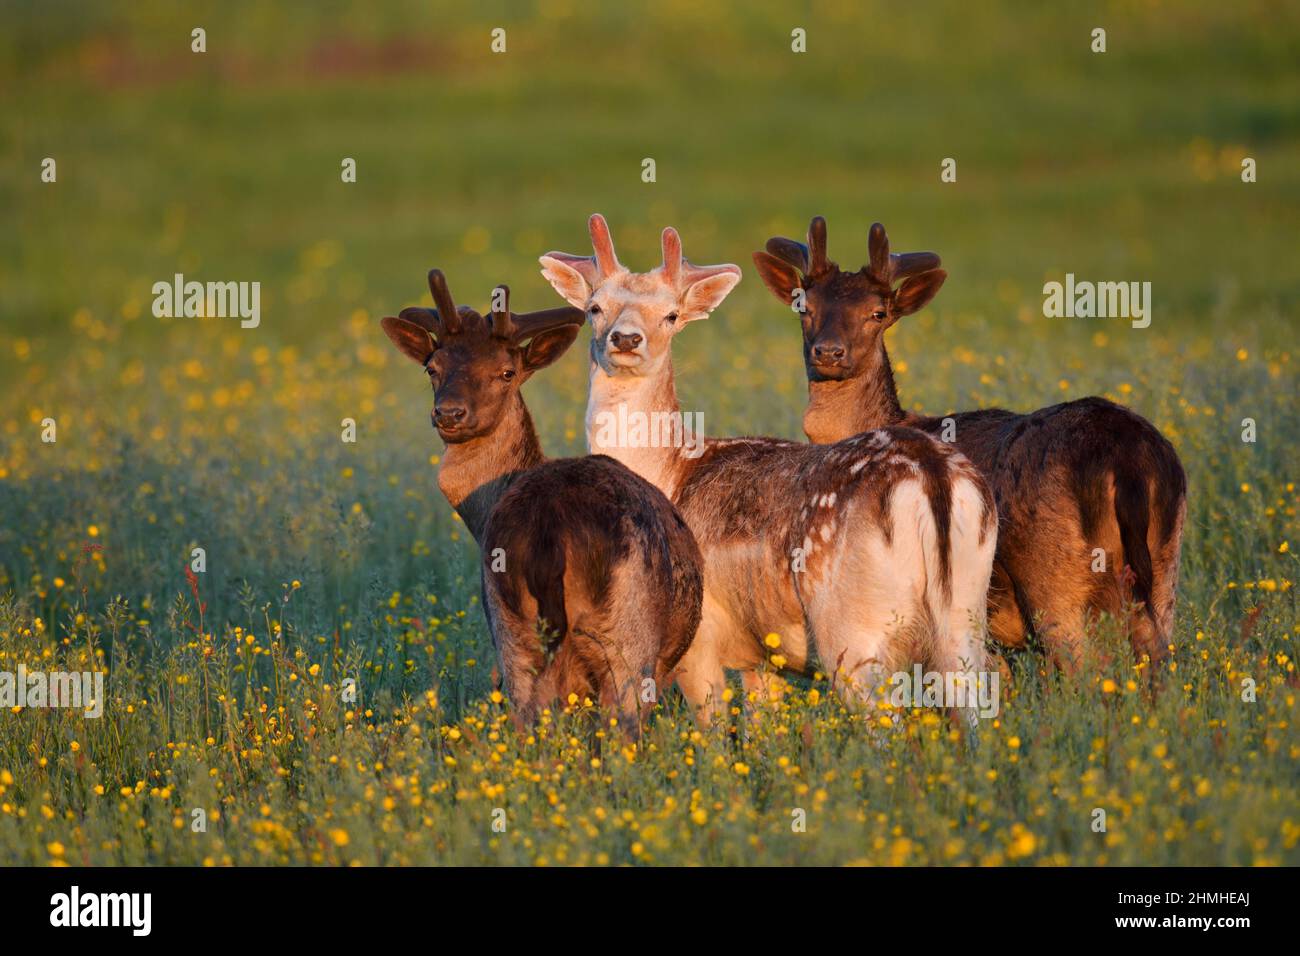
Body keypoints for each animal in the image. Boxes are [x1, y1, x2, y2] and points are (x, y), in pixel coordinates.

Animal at [379, 269, 702, 733]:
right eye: (432, 367)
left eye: (507, 371)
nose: (450, 413)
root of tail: (552, 534)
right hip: (628, 634)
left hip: (510, 630)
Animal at [538, 213, 993, 728]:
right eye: (595, 308)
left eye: (671, 315)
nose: (627, 339)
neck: (668, 471)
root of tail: (931, 474)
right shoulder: (762, 655)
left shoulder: (699, 637)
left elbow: (714, 729)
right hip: (967, 615)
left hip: (853, 629)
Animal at [754, 221, 1190, 676]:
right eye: (803, 307)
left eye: (878, 313)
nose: (829, 351)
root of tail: (1127, 462)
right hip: (1166, 565)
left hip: (1057, 579)